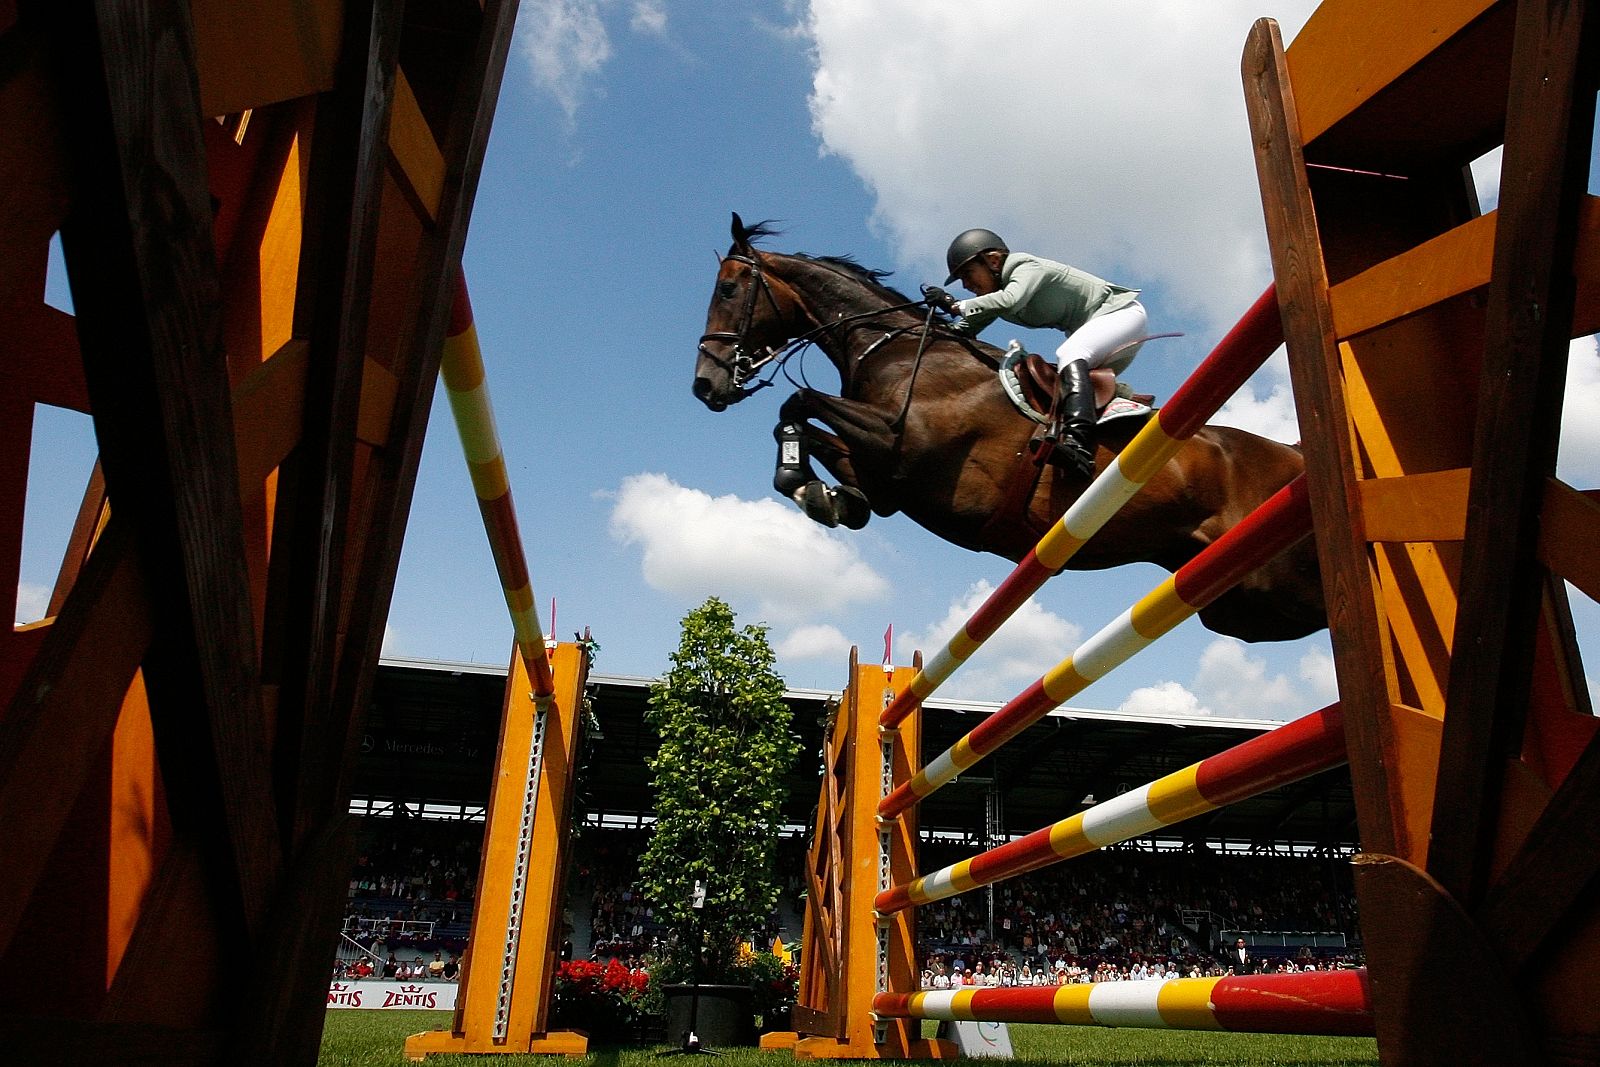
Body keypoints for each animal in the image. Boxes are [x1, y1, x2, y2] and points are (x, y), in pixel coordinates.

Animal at [694, 212, 1318, 639]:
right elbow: (810, 433)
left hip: (1277, 582)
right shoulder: (886, 478)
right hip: (1243, 606)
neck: (894, 349)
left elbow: (796, 403)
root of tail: (1292, 451)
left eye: (727, 289)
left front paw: (809, 489)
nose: (705, 385)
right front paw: (827, 496)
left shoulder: (902, 443)